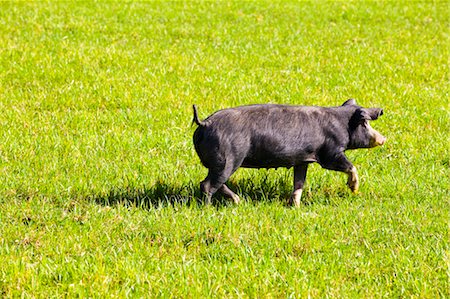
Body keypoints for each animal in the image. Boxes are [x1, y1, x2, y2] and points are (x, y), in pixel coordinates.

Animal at [192, 99, 384, 207]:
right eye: (365, 122)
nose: (383, 139)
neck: (342, 123)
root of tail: (205, 123)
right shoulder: (330, 153)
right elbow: (349, 166)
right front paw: (354, 189)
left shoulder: (302, 160)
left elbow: (299, 182)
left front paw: (296, 206)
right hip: (228, 159)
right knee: (207, 184)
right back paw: (208, 208)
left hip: (221, 163)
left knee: (215, 182)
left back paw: (238, 202)